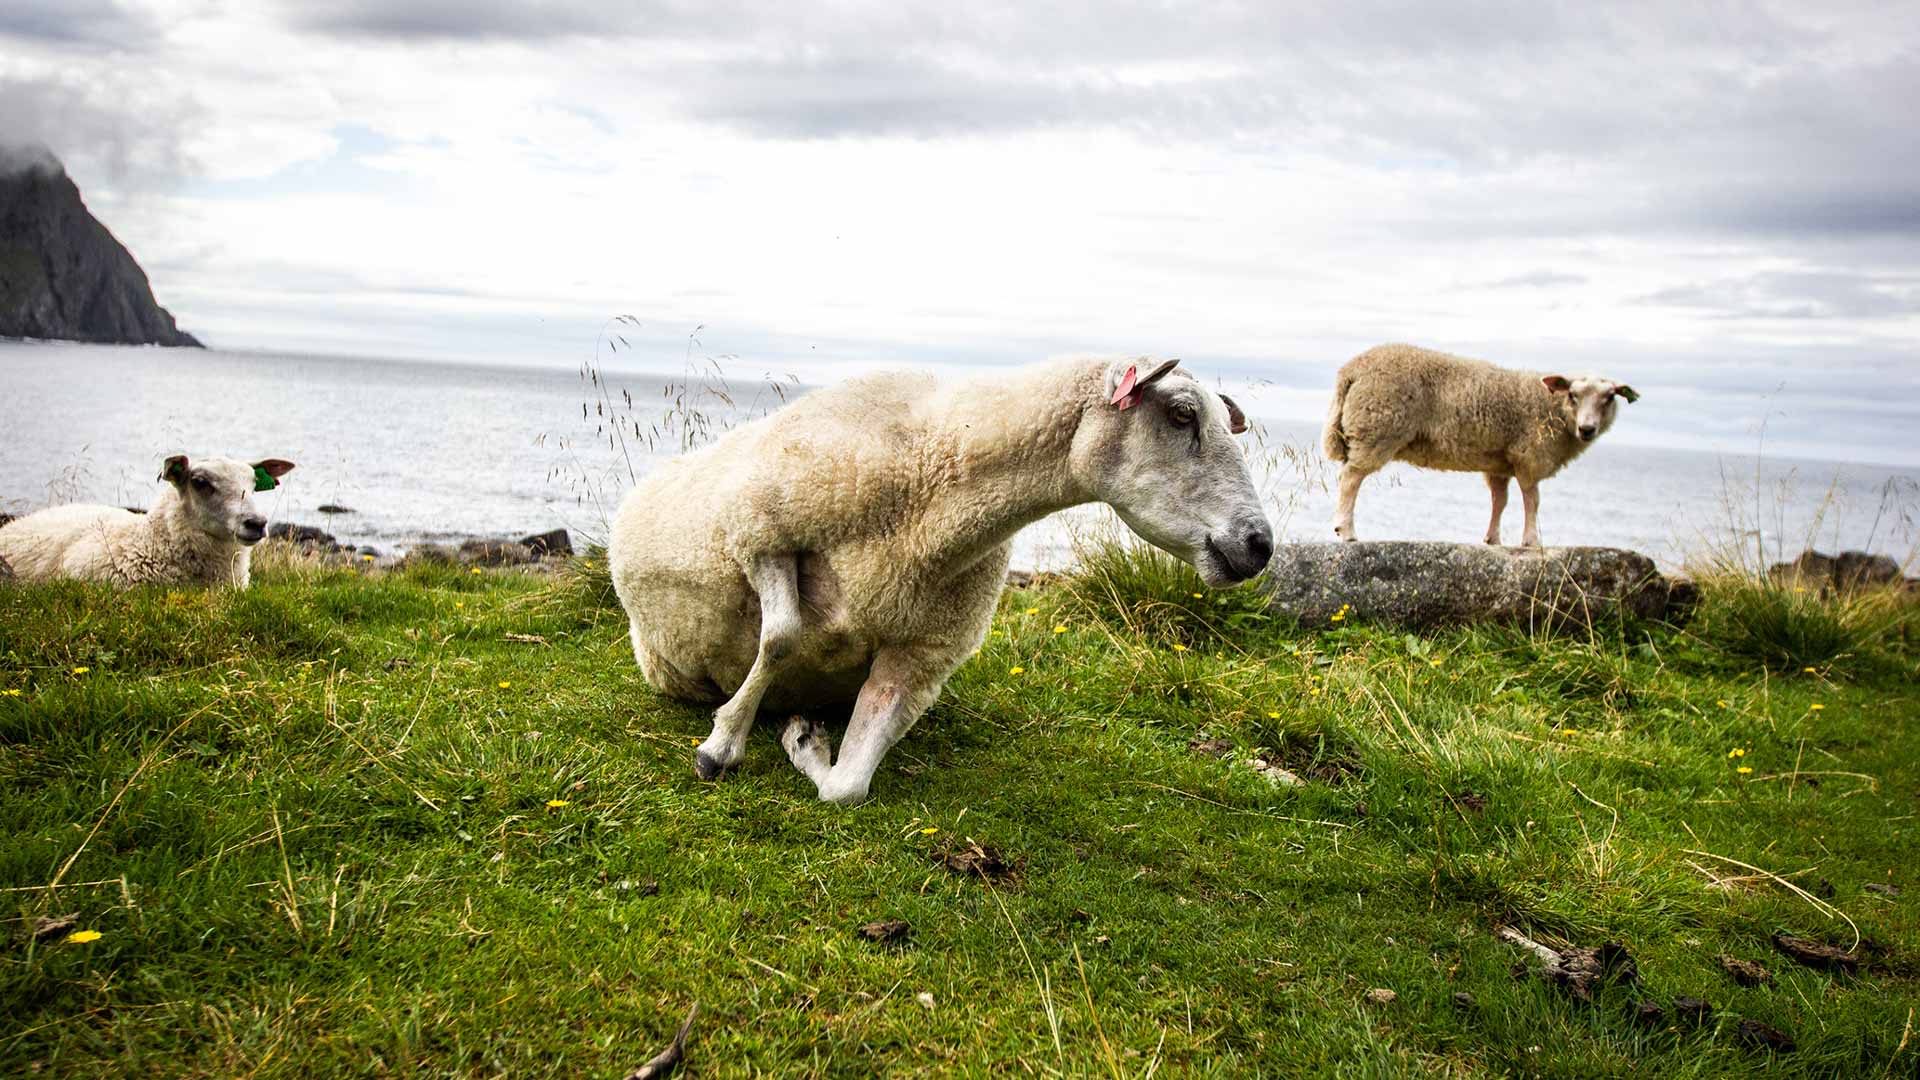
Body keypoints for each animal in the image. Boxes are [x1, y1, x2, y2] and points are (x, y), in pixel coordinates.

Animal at [609, 356, 1273, 805]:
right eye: (1182, 415)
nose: (1261, 545)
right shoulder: (757, 530)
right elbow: (782, 636)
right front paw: (720, 748)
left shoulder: (923, 654)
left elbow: (847, 788)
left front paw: (807, 747)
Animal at [1322, 344, 1637, 547]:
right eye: (1572, 394)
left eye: (1610, 397)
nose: (1588, 429)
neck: (1553, 409)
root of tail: (1351, 370)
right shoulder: (1528, 456)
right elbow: (1532, 500)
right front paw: (1531, 541)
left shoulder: (1500, 463)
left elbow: (1500, 500)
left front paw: (1492, 539)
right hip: (1377, 428)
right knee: (1351, 477)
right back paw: (1346, 530)